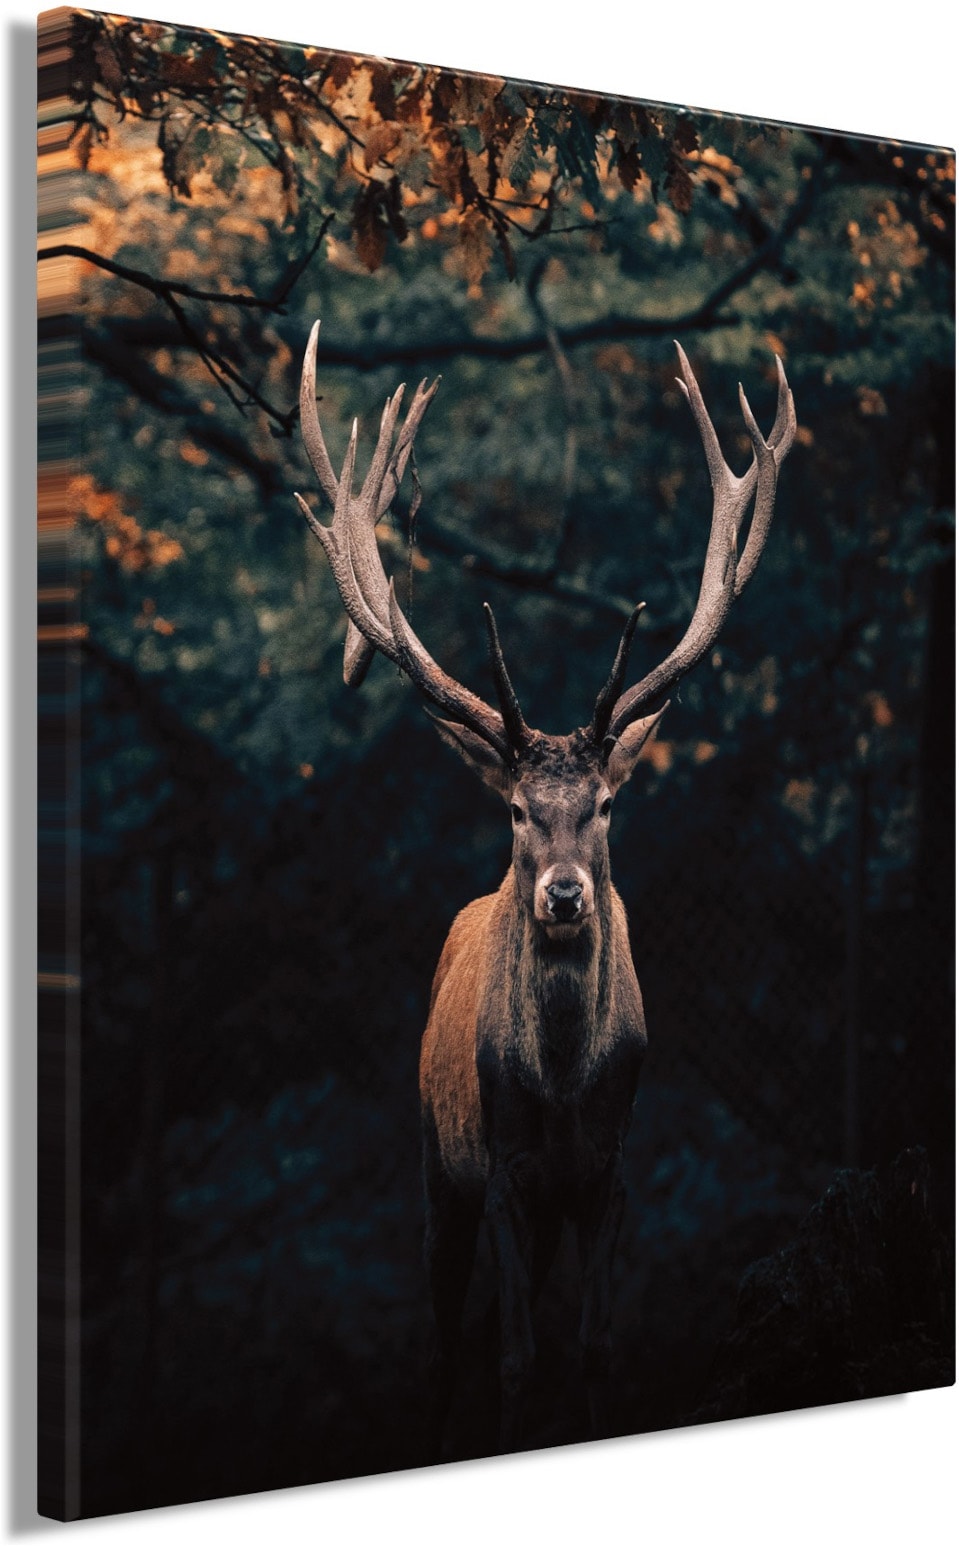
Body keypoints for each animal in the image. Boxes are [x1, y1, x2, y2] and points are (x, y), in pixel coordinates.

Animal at [293, 320, 795, 1453]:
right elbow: (517, 1364)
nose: (563, 895)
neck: (563, 1086)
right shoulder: (505, 1170)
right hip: (434, 1161)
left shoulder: (609, 1172)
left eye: (603, 804)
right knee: (448, 1340)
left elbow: (594, 1349)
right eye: (519, 811)